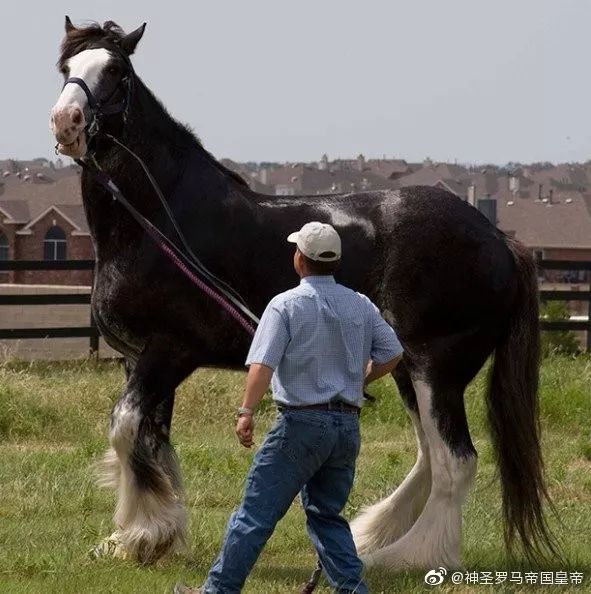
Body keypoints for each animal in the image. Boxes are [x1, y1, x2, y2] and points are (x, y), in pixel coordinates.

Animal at [48, 18, 556, 564]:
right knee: (428, 458)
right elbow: (152, 439)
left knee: (455, 463)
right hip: (408, 370)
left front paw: (141, 537)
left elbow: (125, 429)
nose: (66, 122)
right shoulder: (139, 358)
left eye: (116, 71)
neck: (159, 217)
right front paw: (145, 535)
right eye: (66, 67)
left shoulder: (168, 352)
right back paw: (371, 533)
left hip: (436, 368)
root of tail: (499, 240)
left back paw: (406, 558)